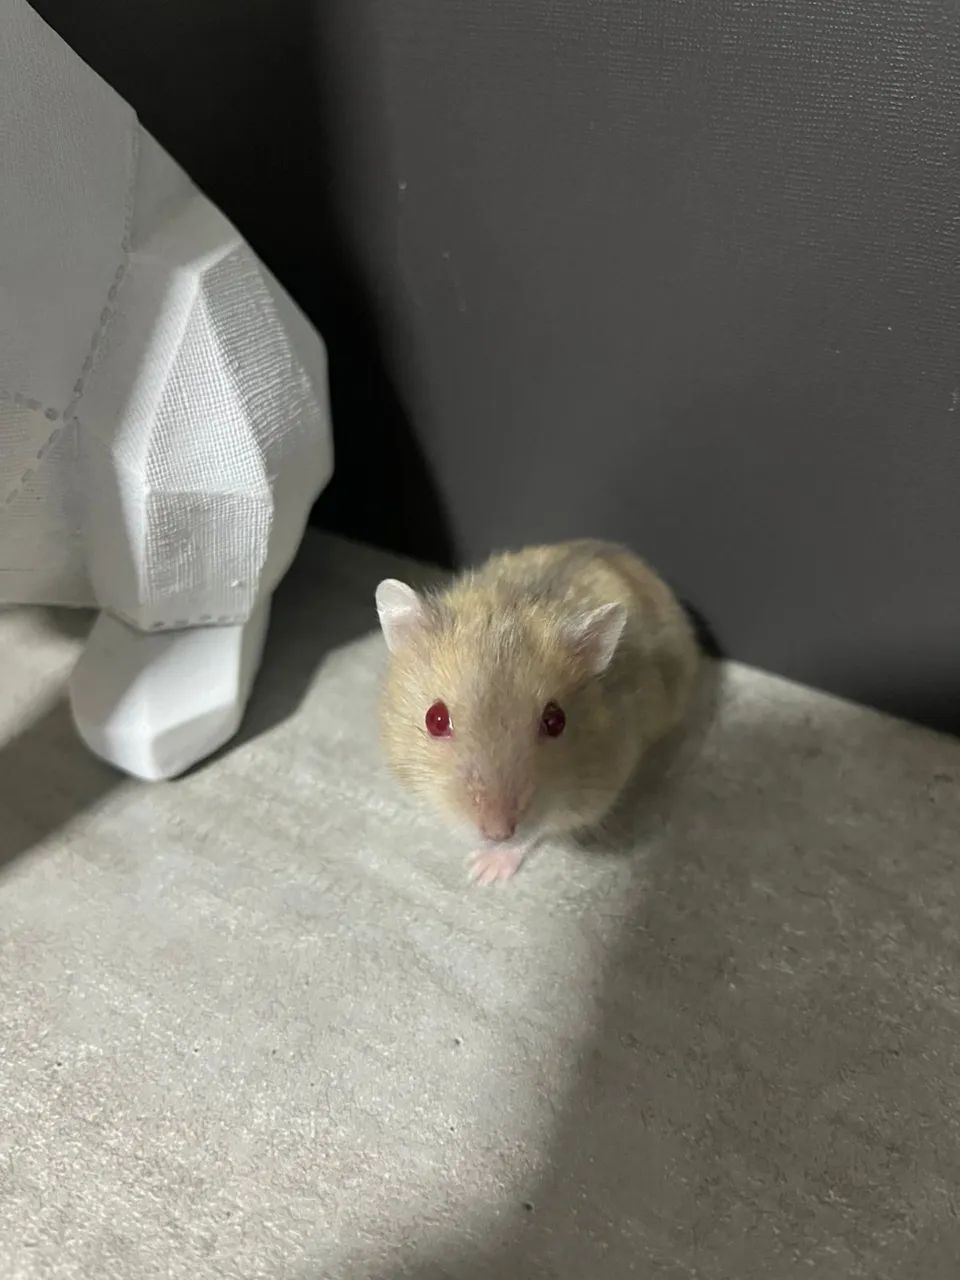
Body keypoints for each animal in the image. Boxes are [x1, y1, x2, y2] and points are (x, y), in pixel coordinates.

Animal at [375, 540, 700, 884]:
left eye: (556, 721)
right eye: (434, 719)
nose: (498, 833)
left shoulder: (591, 792)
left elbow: (535, 833)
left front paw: (481, 872)